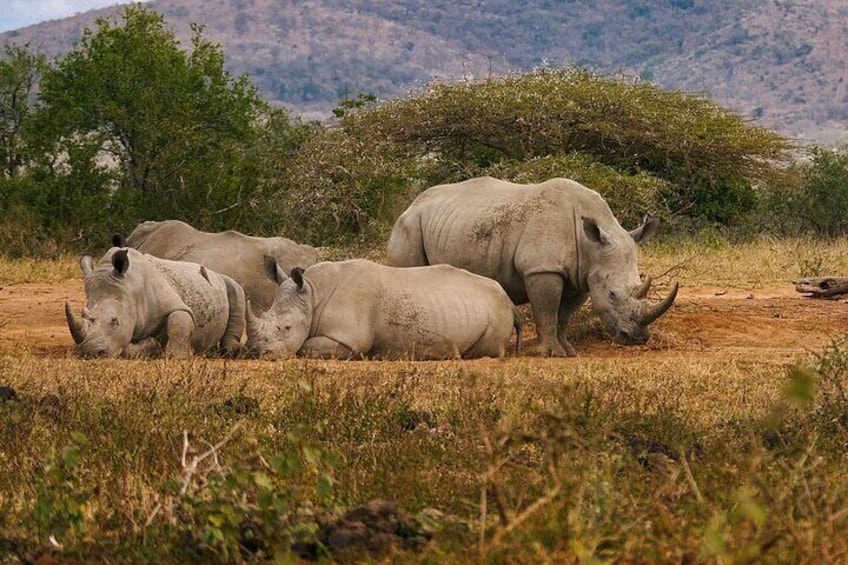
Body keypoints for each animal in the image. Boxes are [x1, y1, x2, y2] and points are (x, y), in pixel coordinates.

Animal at [66, 247, 245, 356]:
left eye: (115, 320)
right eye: (83, 315)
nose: (91, 352)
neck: (131, 289)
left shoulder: (174, 304)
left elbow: (178, 320)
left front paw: (178, 355)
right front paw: (152, 344)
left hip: (225, 280)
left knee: (236, 289)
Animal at [245, 258, 520, 360]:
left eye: (286, 327)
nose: (256, 351)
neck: (312, 294)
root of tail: (509, 300)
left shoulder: (349, 339)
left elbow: (306, 347)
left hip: (497, 310)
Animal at [388, 175, 680, 356]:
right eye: (612, 294)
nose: (637, 338)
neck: (590, 245)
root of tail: (412, 203)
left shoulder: (581, 276)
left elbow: (564, 316)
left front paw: (568, 351)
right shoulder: (542, 268)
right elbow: (546, 310)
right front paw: (551, 353)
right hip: (408, 225)